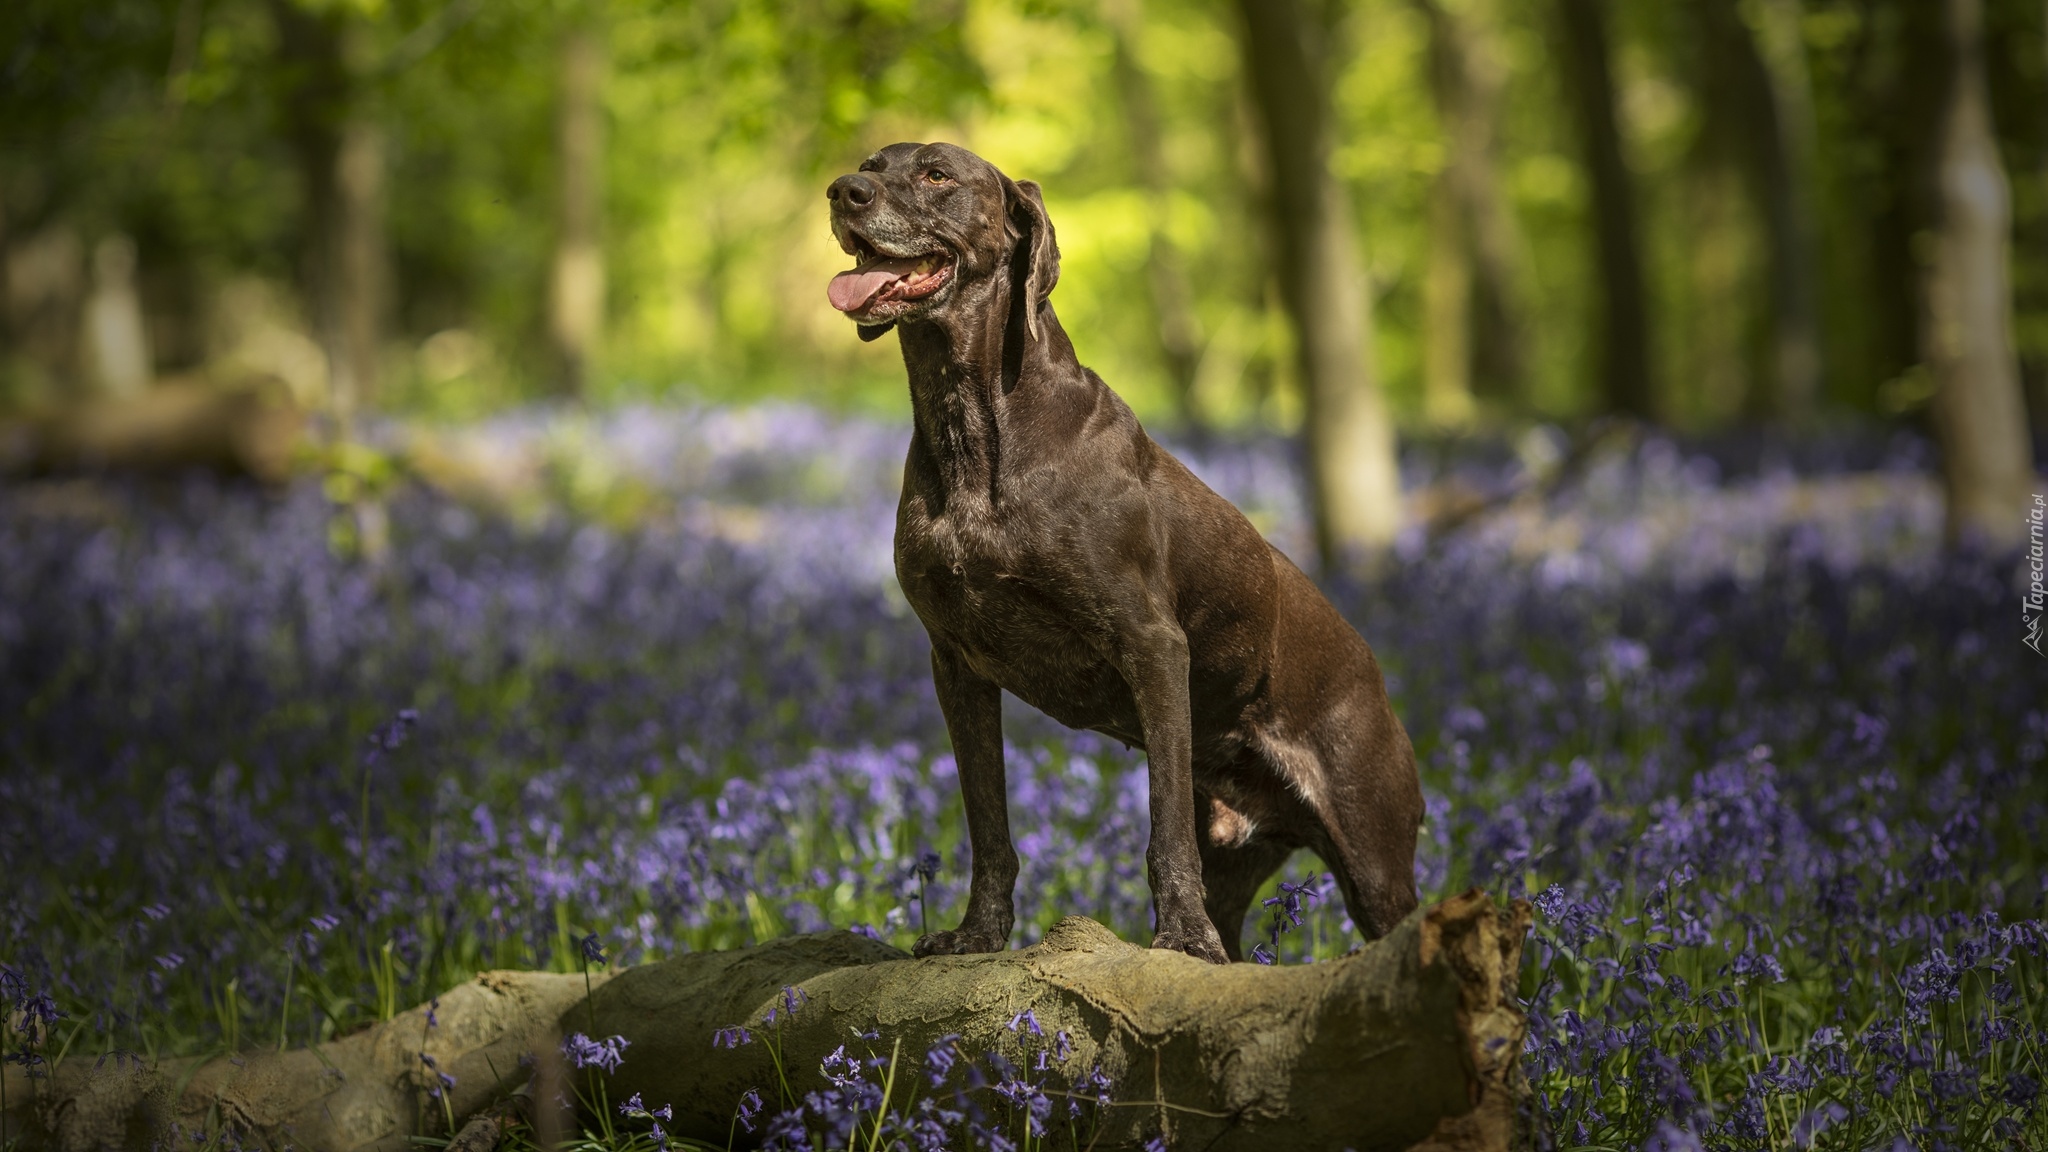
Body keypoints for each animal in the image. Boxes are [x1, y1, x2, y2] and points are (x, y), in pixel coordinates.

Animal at [823, 141, 1417, 959]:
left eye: (937, 174)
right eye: (871, 162)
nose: (841, 191)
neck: (974, 424)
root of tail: (1376, 678)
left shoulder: (1152, 645)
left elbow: (1163, 833)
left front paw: (1182, 939)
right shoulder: (958, 667)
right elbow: (989, 827)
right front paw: (979, 934)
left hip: (1375, 861)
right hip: (1243, 856)